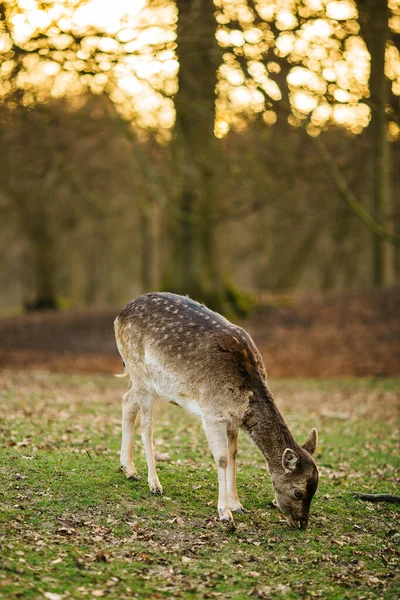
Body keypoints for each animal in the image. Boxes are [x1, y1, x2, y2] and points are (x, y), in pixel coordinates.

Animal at [114, 292, 320, 528]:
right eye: (298, 492)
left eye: (315, 489)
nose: (302, 524)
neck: (242, 399)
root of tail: (119, 315)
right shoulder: (212, 414)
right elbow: (221, 458)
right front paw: (225, 512)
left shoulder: (233, 420)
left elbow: (233, 454)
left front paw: (237, 504)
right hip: (140, 372)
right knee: (147, 425)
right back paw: (154, 483)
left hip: (146, 382)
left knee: (127, 400)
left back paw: (128, 469)